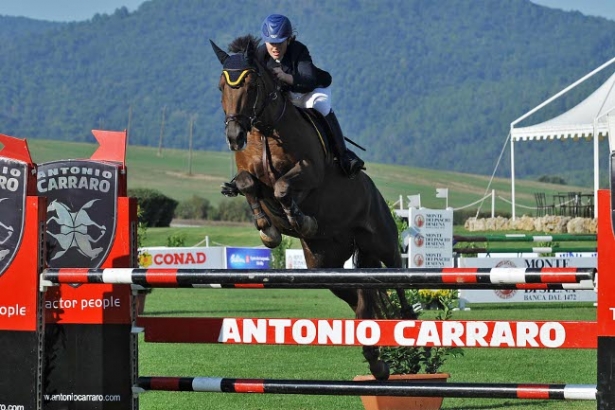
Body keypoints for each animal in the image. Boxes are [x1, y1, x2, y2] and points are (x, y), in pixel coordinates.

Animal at [209, 35, 416, 382]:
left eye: (250, 84)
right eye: (221, 86)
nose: (234, 136)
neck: (265, 130)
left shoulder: (309, 173)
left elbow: (283, 187)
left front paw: (300, 220)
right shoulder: (251, 177)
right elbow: (249, 184)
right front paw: (268, 230)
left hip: (382, 240)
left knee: (398, 277)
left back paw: (407, 321)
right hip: (326, 264)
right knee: (360, 300)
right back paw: (376, 359)